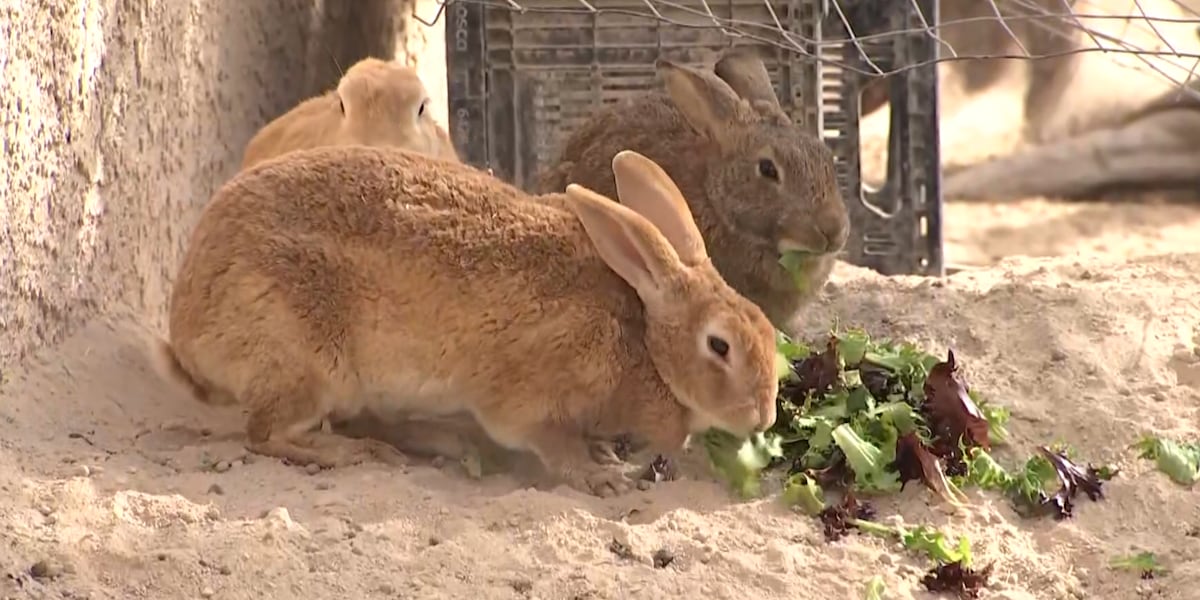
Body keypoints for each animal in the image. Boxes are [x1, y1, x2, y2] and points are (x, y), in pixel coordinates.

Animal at [154, 144, 779, 497]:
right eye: (719, 346)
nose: (764, 417)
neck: (644, 338)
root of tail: (187, 327)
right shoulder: (531, 395)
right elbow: (548, 442)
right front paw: (598, 475)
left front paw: (603, 457)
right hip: (309, 364)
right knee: (267, 434)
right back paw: (360, 455)